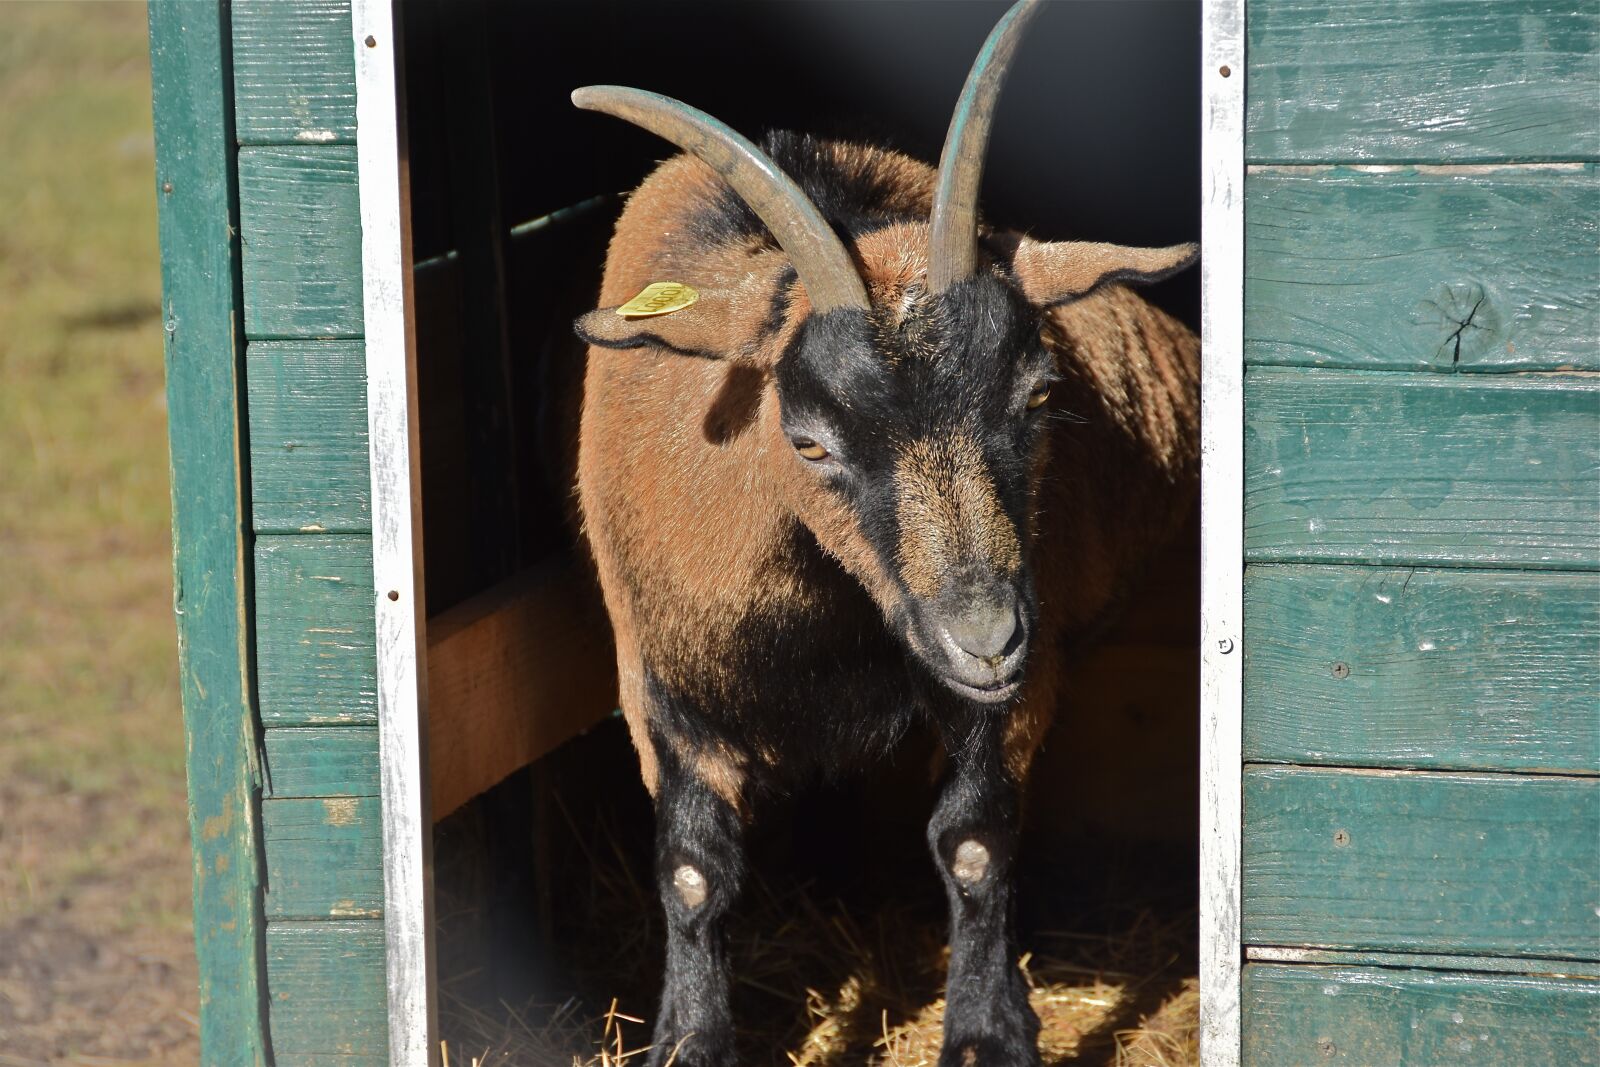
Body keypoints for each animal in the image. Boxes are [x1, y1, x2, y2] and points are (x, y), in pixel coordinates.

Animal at [570, 2, 1198, 1063]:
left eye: (1038, 394)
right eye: (810, 441)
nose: (985, 637)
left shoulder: (1016, 685)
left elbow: (975, 842)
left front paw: (987, 1031)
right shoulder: (660, 680)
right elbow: (694, 870)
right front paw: (689, 1037)